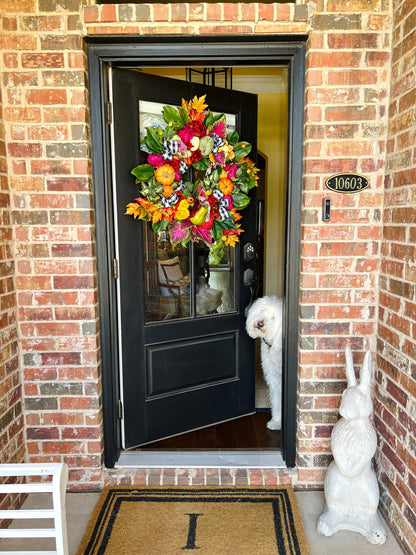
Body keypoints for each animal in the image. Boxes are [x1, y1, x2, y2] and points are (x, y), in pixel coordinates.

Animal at [245, 296, 284, 430]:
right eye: (262, 310)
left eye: (273, 317)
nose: (260, 323)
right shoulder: (275, 380)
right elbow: (277, 402)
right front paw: (277, 422)